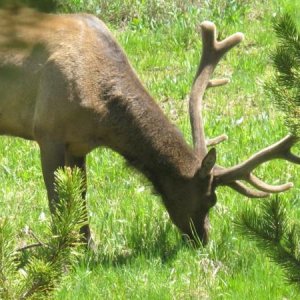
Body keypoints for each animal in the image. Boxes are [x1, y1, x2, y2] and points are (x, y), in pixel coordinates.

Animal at [0, 7, 298, 246]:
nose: (203, 239)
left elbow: (80, 195)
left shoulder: (78, 145)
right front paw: (62, 252)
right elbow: (57, 199)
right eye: (211, 199)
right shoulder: (47, 131)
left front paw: (87, 247)